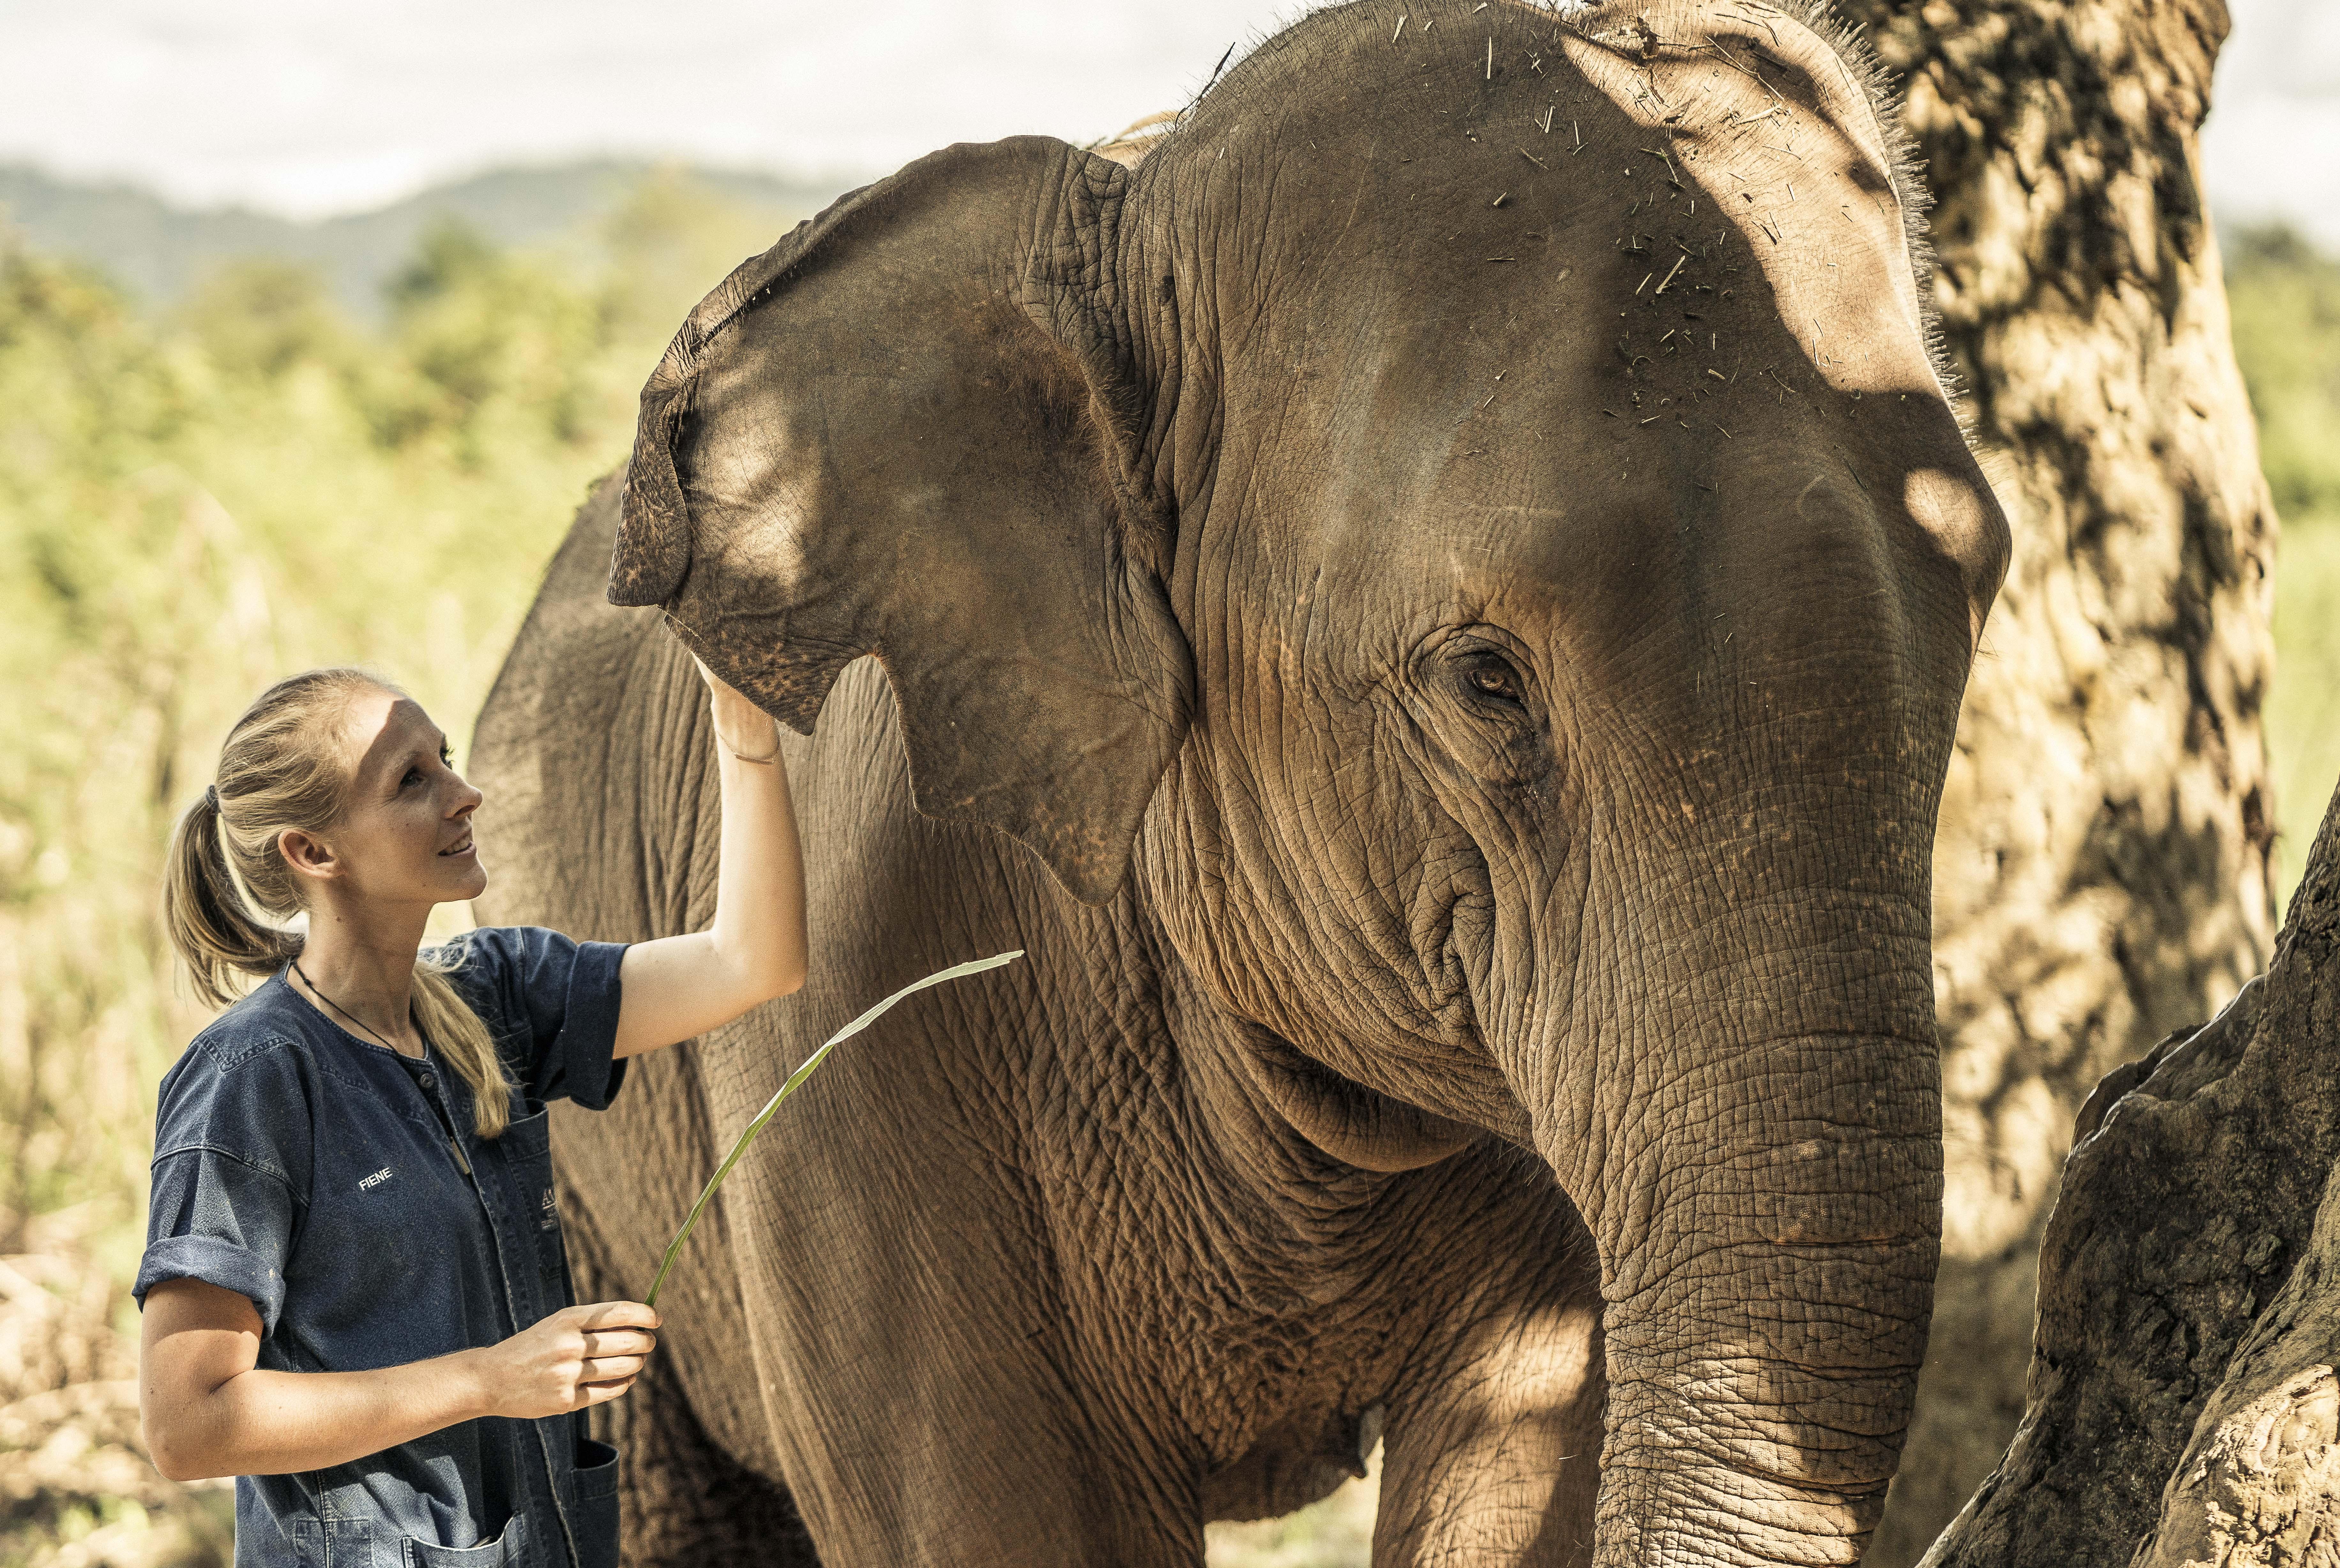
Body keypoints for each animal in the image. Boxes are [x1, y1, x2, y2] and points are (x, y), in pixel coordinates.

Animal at [470, 3, 2012, 1568]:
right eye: (1483, 680)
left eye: (1979, 594)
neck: (1127, 215)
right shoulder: (855, 1001)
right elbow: (996, 1520)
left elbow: (1513, 1460)